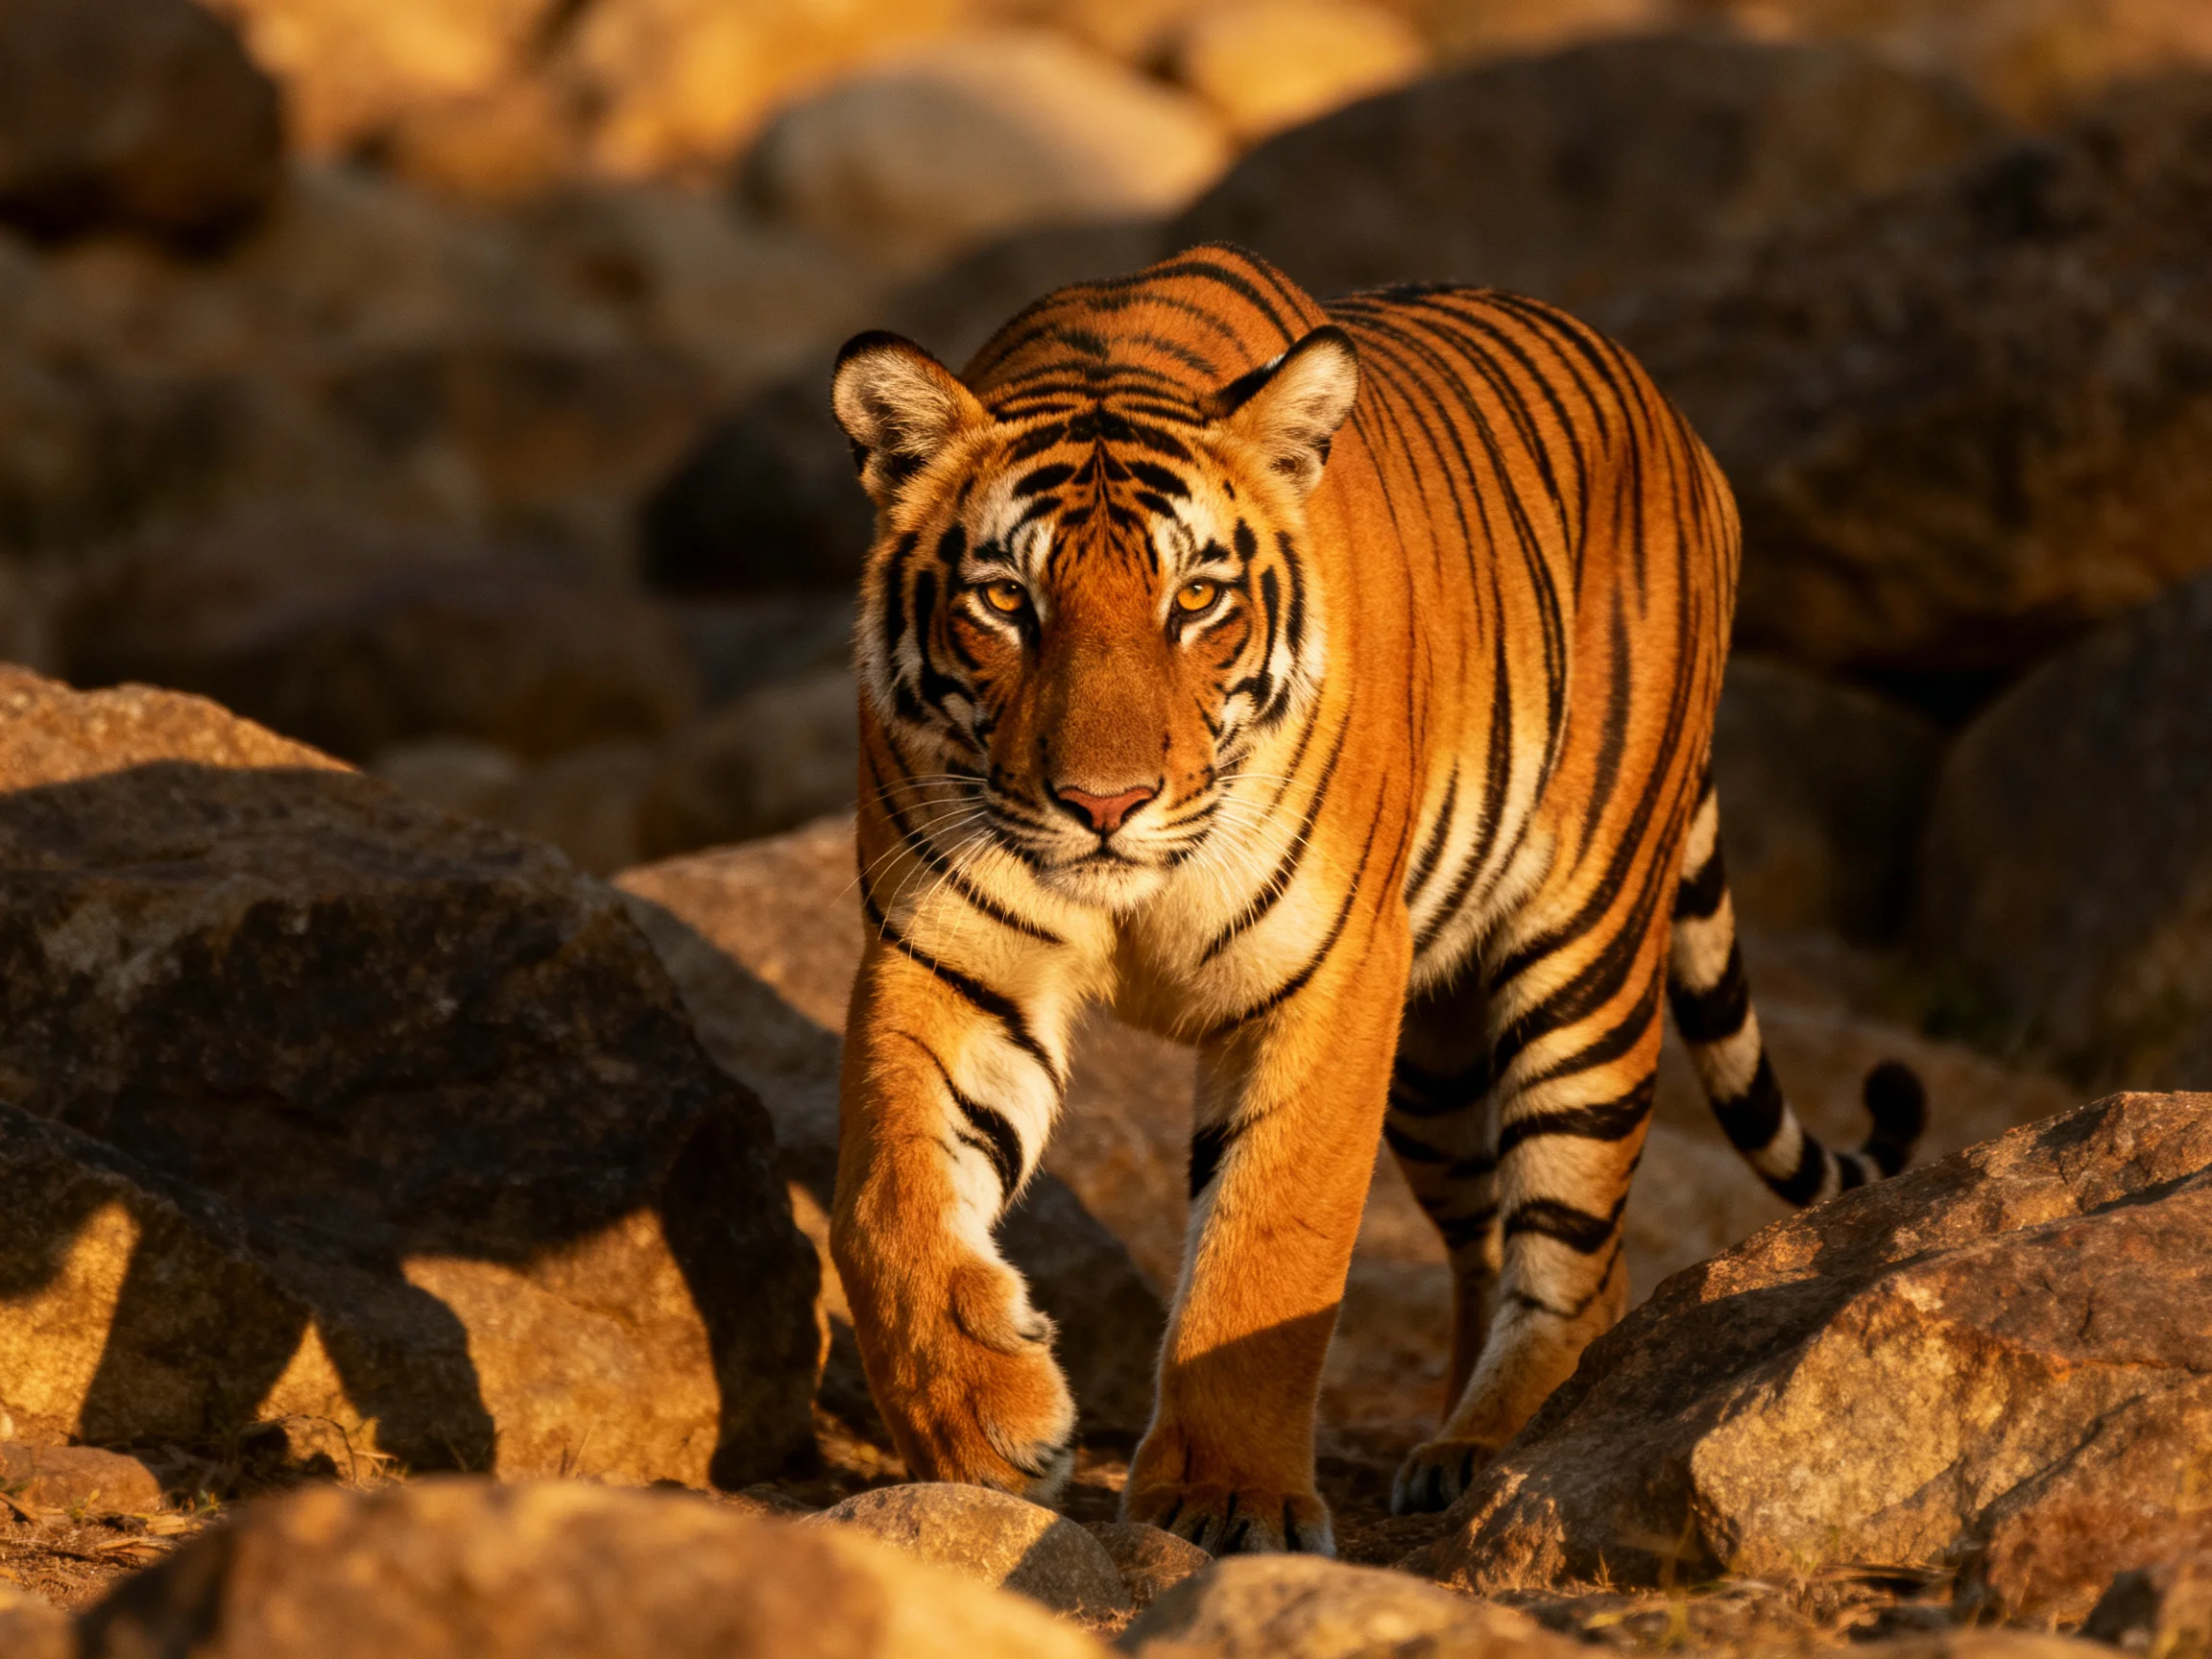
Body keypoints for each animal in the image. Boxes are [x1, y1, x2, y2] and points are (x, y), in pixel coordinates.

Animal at [826, 243, 1925, 1556]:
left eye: (1195, 601)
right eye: (1005, 602)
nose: (1106, 803)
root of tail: (1673, 418)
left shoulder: (1331, 971)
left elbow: (1271, 1242)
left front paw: (1228, 1498)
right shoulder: (945, 948)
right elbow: (886, 1197)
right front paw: (978, 1423)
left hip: (1584, 947)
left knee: (1574, 1242)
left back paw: (1494, 1448)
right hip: (1435, 1064)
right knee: (1490, 1230)